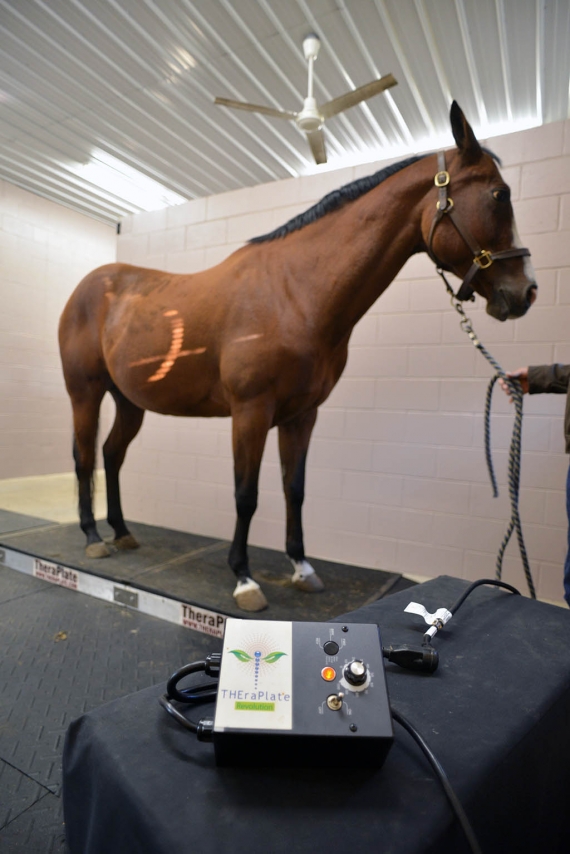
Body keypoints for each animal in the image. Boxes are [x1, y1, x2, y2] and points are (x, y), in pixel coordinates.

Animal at [58, 102, 537, 612]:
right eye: (499, 195)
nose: (525, 291)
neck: (295, 293)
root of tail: (88, 287)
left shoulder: (302, 415)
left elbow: (295, 489)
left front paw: (302, 568)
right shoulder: (250, 411)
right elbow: (245, 494)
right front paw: (244, 578)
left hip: (129, 401)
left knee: (111, 455)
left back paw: (123, 532)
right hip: (85, 394)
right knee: (84, 457)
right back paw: (93, 537)